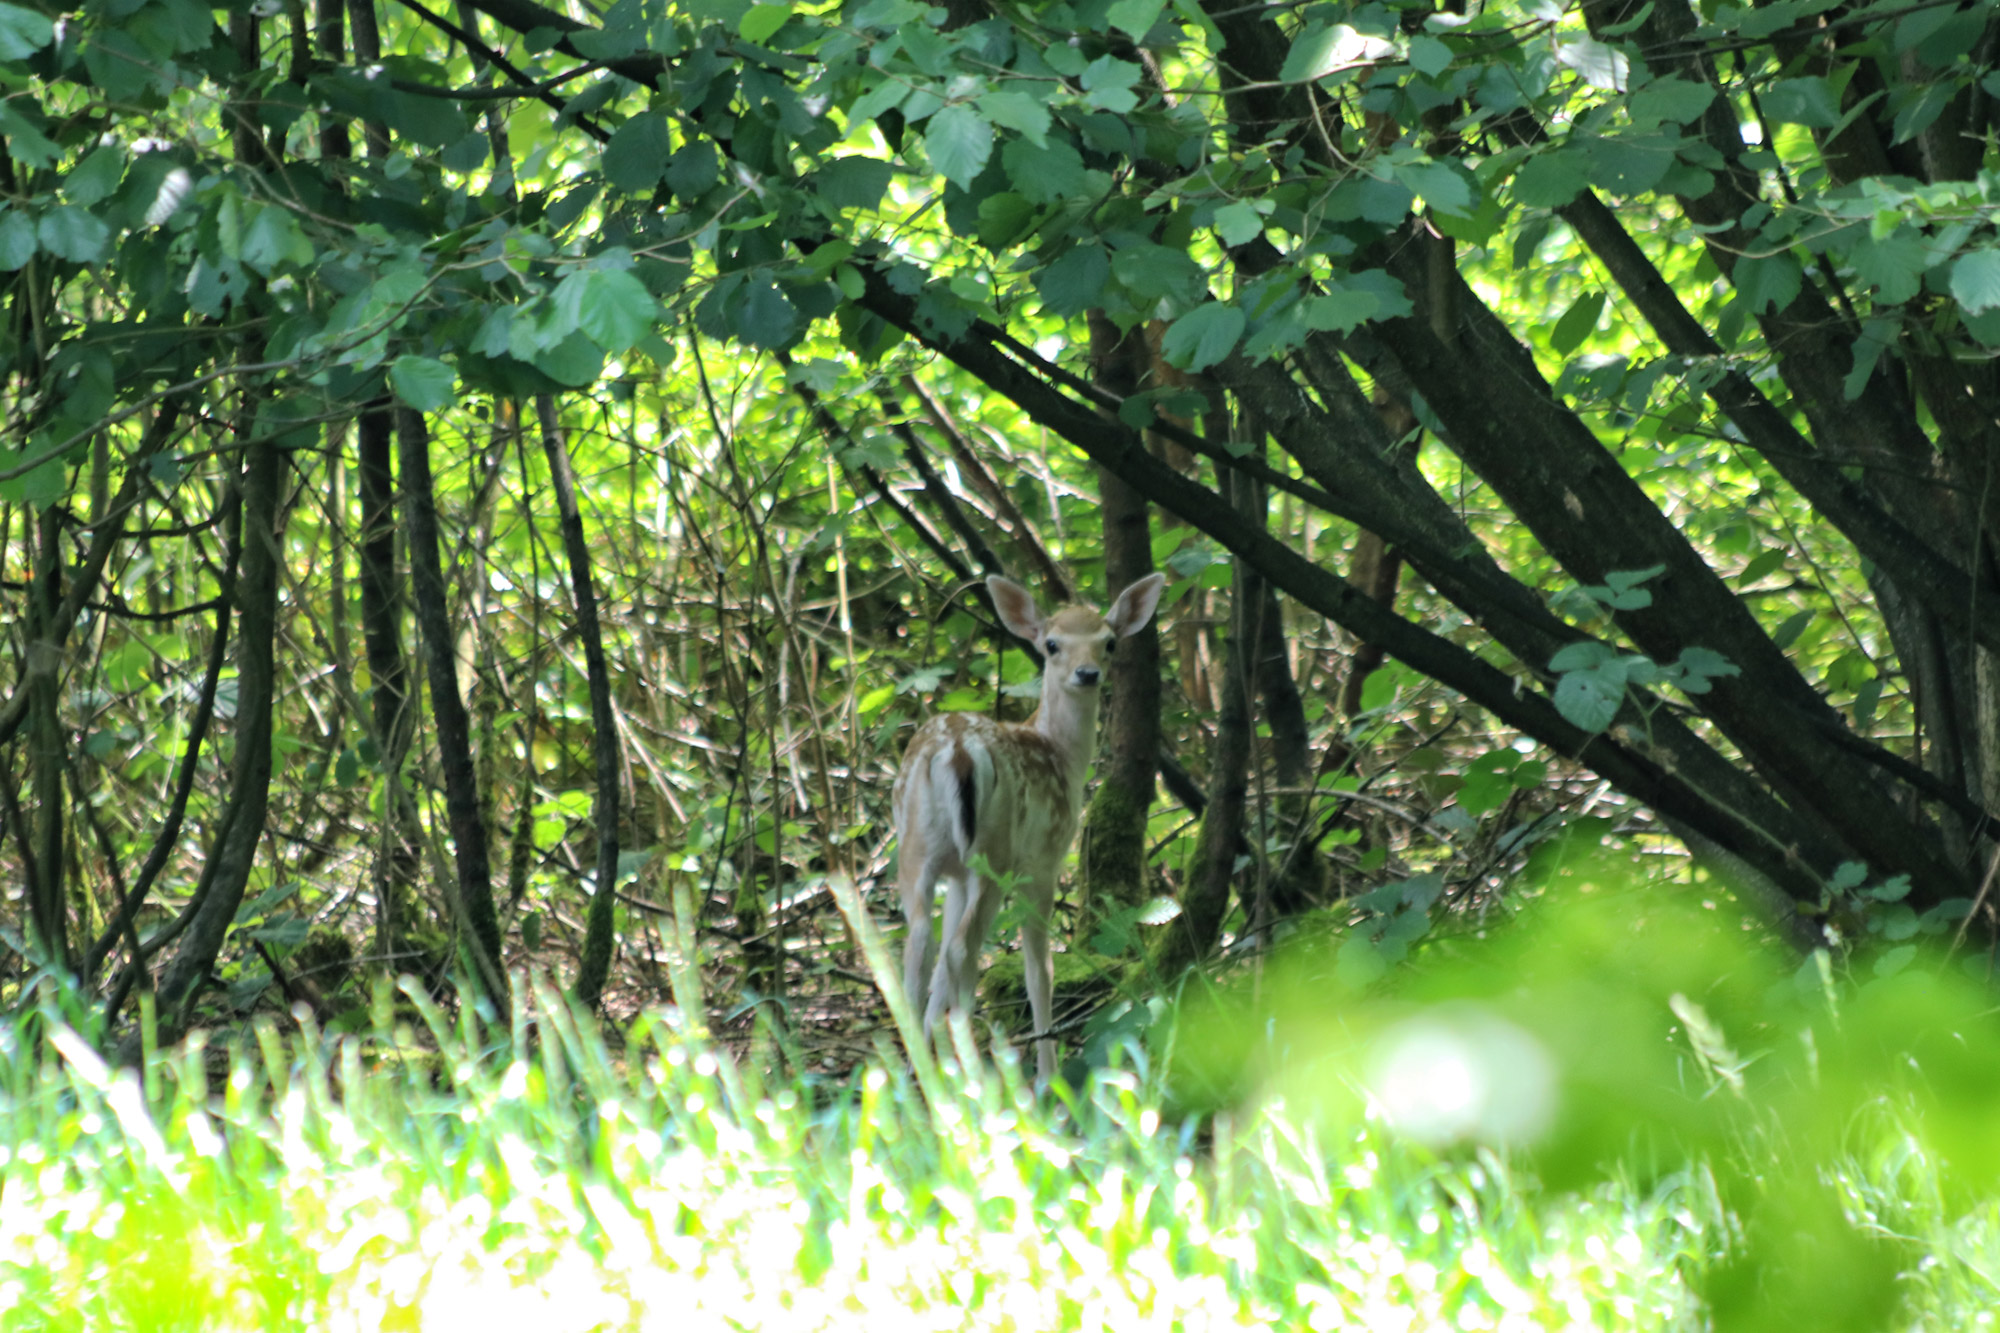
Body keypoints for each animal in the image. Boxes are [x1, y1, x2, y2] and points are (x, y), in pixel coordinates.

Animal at [896, 568, 1168, 1080]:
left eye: (1108, 642)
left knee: (921, 942)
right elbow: (1039, 969)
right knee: (963, 948)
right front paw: (1047, 1075)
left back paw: (920, 1063)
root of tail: (956, 751)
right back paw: (976, 1068)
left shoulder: (957, 875)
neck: (1062, 754)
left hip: (919, 848)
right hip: (996, 852)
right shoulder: (1045, 862)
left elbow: (942, 960)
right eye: (1052, 645)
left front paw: (934, 1046)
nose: (1088, 673)